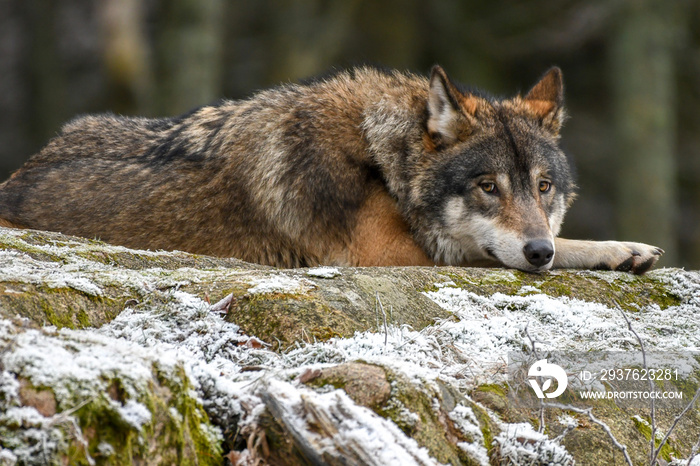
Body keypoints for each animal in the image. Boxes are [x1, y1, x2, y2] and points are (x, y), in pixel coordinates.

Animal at [0, 65, 660, 274]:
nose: (537, 252)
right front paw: (615, 249)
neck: (381, 160)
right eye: (488, 187)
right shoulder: (391, 256)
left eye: (543, 187)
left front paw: (617, 250)